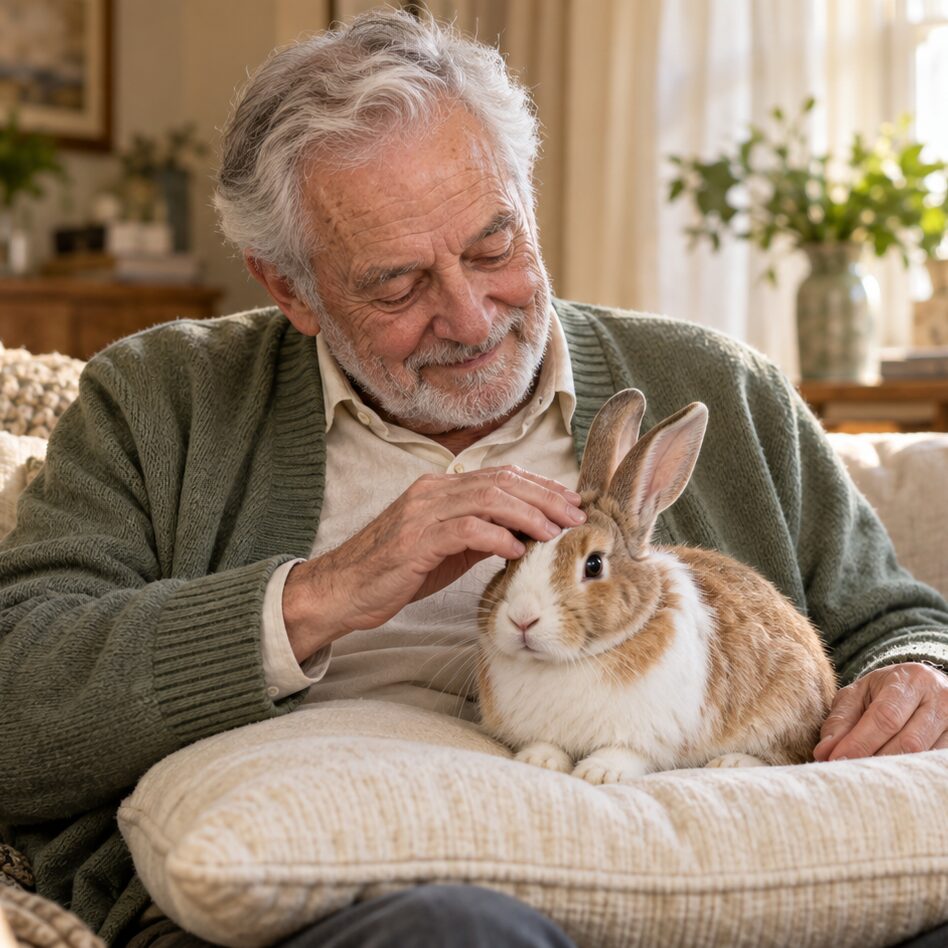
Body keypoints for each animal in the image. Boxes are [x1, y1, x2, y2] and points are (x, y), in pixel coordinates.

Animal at [477, 388, 837, 784]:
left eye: (593, 565)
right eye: (509, 561)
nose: (522, 620)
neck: (574, 659)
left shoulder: (648, 735)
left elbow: (626, 752)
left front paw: (598, 773)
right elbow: (546, 744)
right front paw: (538, 760)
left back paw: (731, 763)